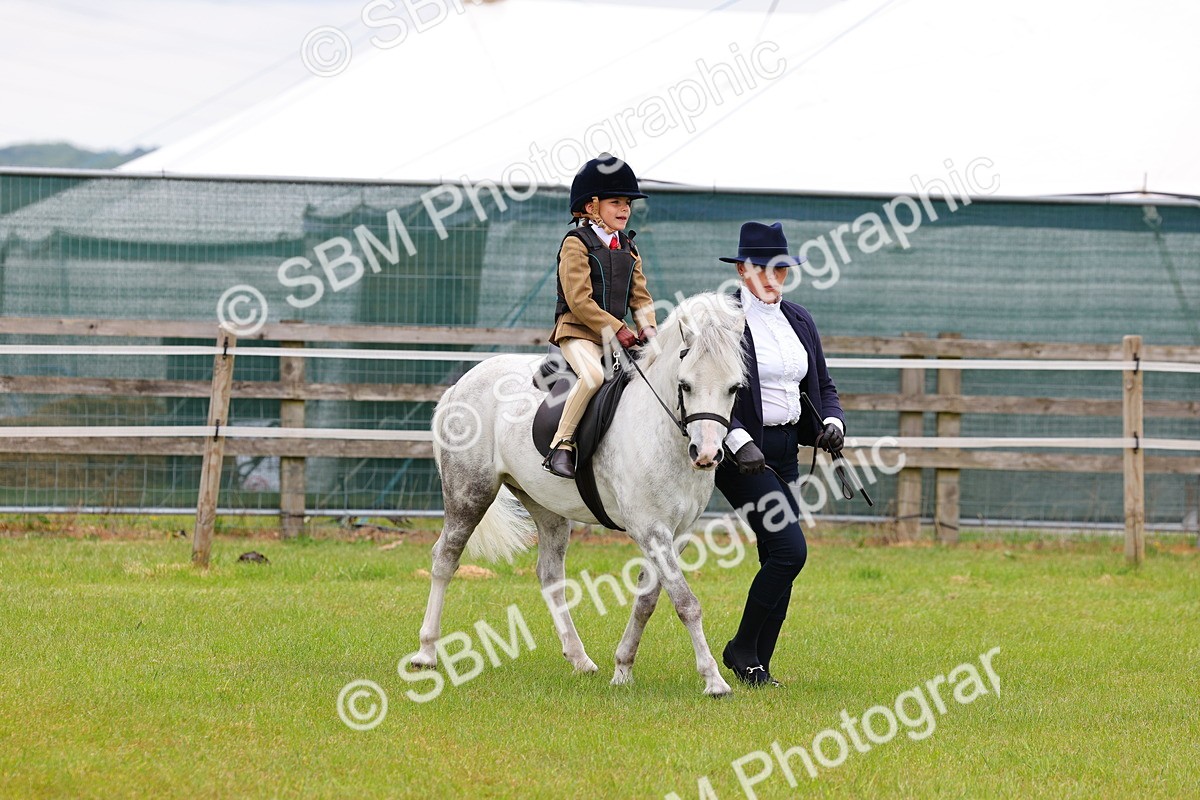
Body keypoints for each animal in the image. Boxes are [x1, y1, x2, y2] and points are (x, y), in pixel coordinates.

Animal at [411, 292, 748, 696]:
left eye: (734, 388)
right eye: (685, 385)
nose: (707, 454)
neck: (662, 431)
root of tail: (460, 385)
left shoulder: (677, 534)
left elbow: (648, 600)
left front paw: (623, 669)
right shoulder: (651, 530)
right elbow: (686, 603)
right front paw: (714, 680)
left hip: (545, 506)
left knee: (549, 575)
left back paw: (580, 659)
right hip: (469, 494)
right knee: (445, 559)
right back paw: (427, 652)